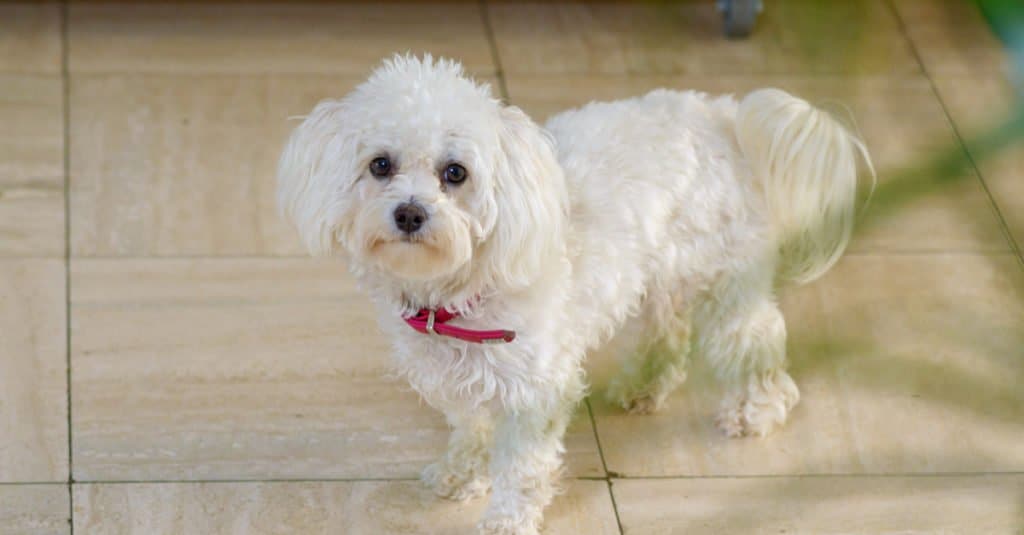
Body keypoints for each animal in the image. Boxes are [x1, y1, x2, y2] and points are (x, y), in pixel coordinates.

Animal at [278, 55, 872, 532]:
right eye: (380, 164)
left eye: (455, 173)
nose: (408, 214)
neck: (459, 288)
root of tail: (721, 114)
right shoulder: (460, 381)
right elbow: (471, 429)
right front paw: (461, 474)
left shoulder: (535, 391)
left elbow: (522, 466)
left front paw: (507, 519)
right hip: (651, 275)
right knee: (666, 333)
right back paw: (643, 388)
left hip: (726, 281)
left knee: (755, 340)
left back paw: (755, 410)